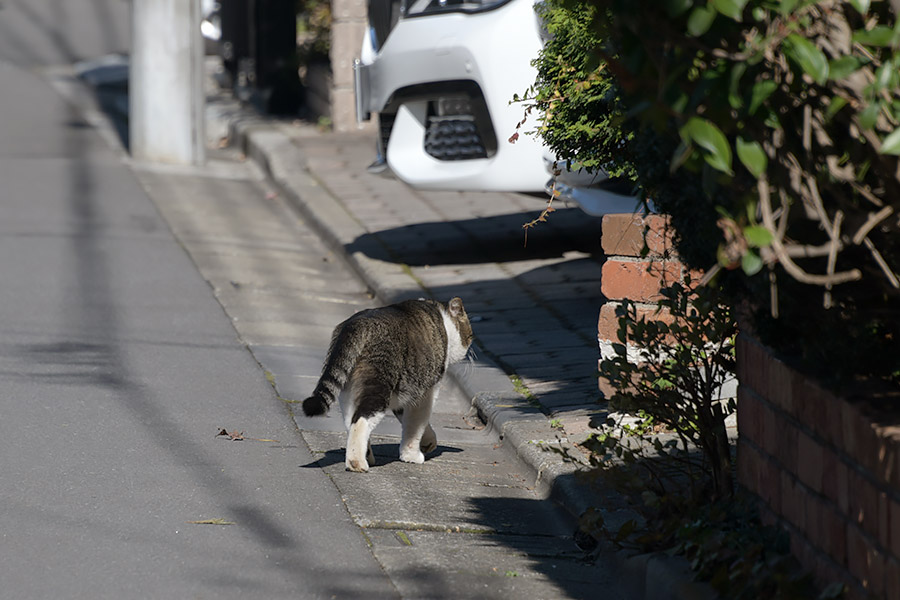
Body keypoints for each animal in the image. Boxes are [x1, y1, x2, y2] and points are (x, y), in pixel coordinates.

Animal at [302, 298, 474, 472]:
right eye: (470, 335)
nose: (469, 346)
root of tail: (358, 323)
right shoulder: (424, 394)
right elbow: (415, 426)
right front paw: (411, 455)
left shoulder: (405, 394)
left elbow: (414, 422)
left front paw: (428, 441)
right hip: (378, 388)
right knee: (360, 421)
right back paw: (357, 462)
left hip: (349, 390)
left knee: (351, 420)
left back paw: (367, 455)